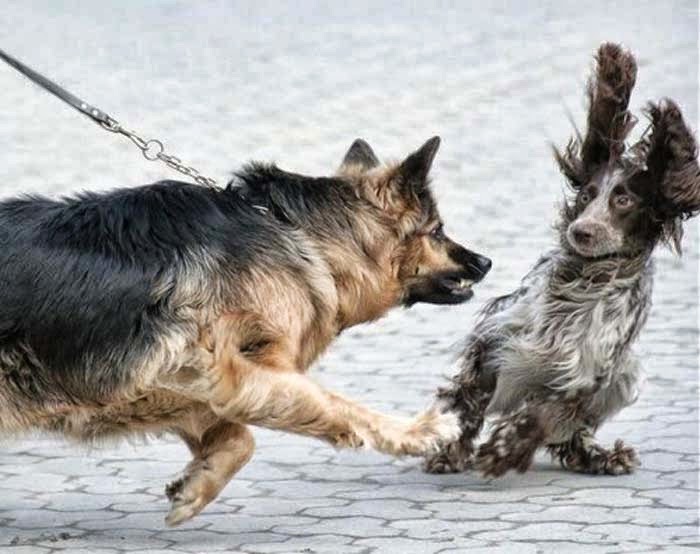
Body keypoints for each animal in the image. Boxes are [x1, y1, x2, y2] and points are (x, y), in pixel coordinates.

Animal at [0, 136, 492, 524]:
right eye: (438, 230)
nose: (486, 262)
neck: (298, 233)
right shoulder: (228, 371)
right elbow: (338, 407)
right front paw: (418, 432)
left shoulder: (194, 384)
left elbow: (239, 439)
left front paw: (197, 486)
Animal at [424, 42, 700, 474]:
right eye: (587, 194)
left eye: (624, 200)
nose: (581, 231)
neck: (587, 278)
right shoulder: (498, 338)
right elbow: (470, 399)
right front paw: (451, 448)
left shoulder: (592, 370)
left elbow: (550, 412)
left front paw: (505, 448)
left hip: (626, 377)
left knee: (570, 430)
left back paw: (598, 456)